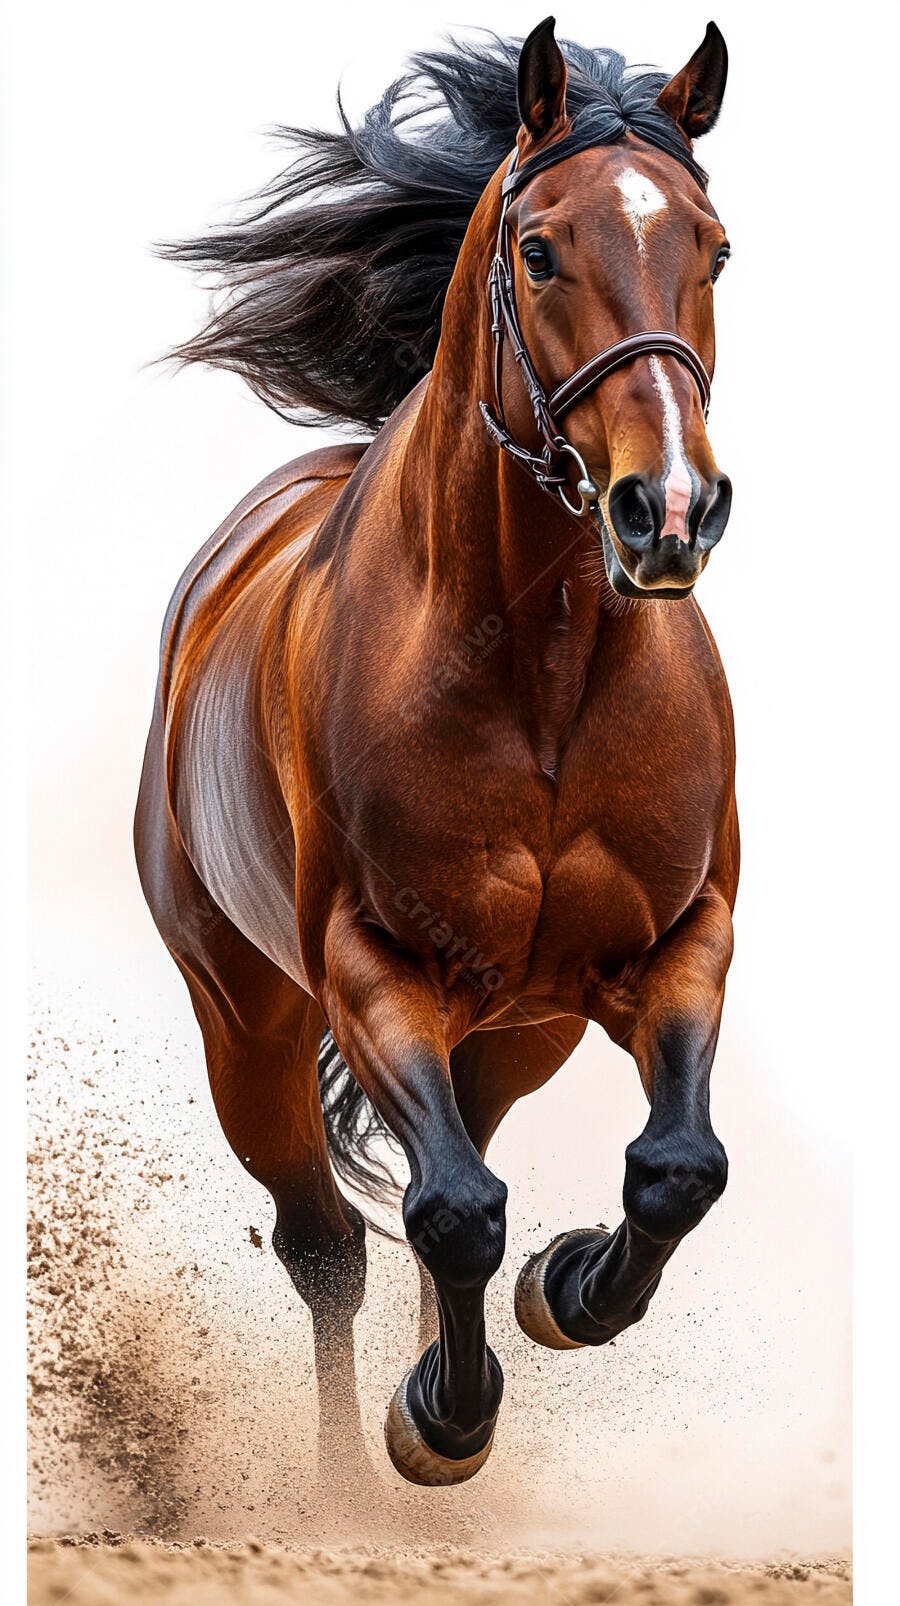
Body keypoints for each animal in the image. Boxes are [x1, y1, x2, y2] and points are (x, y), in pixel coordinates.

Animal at [135, 18, 737, 1487]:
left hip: (518, 1029)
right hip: (247, 1019)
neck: (546, 685)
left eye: (713, 246)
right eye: (541, 249)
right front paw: (440, 1424)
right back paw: (359, 1479)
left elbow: (677, 1167)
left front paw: (568, 1287)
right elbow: (455, 1209)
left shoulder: (681, 933)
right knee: (335, 1243)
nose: (669, 512)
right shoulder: (371, 966)